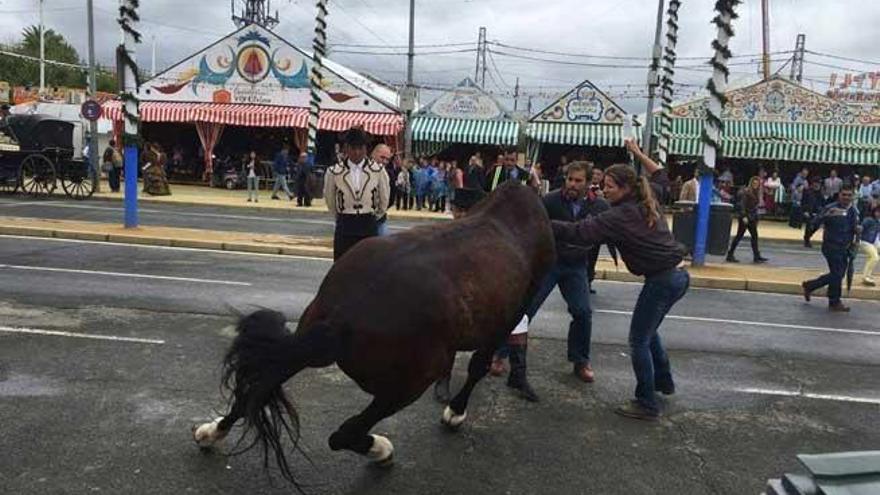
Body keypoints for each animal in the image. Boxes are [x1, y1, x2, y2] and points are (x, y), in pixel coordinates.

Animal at [192, 180, 552, 486]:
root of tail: (344, 315)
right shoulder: (512, 314)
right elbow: (479, 364)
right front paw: (455, 412)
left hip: (313, 335)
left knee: (262, 382)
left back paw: (211, 432)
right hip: (409, 380)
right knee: (344, 433)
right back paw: (382, 450)